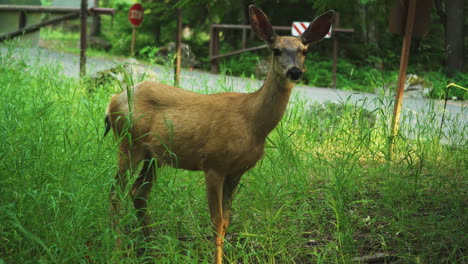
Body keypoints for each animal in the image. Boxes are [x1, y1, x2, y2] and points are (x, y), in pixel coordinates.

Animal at [106, 5, 332, 262]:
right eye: (276, 50)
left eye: (304, 51)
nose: (295, 71)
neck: (252, 123)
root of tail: (113, 100)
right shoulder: (214, 164)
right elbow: (216, 221)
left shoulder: (237, 171)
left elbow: (226, 221)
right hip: (128, 143)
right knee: (116, 193)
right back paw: (118, 249)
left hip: (152, 155)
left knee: (139, 193)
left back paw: (152, 250)